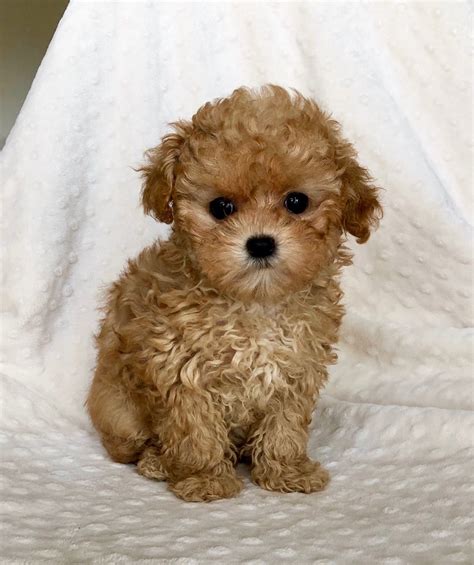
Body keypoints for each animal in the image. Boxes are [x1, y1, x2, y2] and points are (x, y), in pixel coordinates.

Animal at [86, 86, 382, 500]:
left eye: (296, 202)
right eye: (221, 207)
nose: (260, 243)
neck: (254, 304)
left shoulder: (296, 369)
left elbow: (285, 425)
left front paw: (286, 470)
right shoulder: (182, 369)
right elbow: (195, 431)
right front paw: (204, 478)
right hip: (119, 410)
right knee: (131, 445)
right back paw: (158, 461)